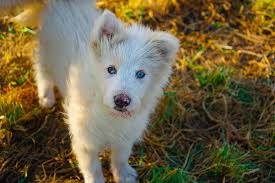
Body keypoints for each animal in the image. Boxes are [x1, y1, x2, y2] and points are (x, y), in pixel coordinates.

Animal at [0, 0, 181, 182]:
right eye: (111, 69)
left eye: (141, 74)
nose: (121, 100)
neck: (109, 114)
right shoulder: (85, 141)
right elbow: (92, 168)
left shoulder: (125, 135)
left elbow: (121, 156)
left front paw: (123, 174)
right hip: (47, 51)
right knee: (40, 68)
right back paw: (46, 97)